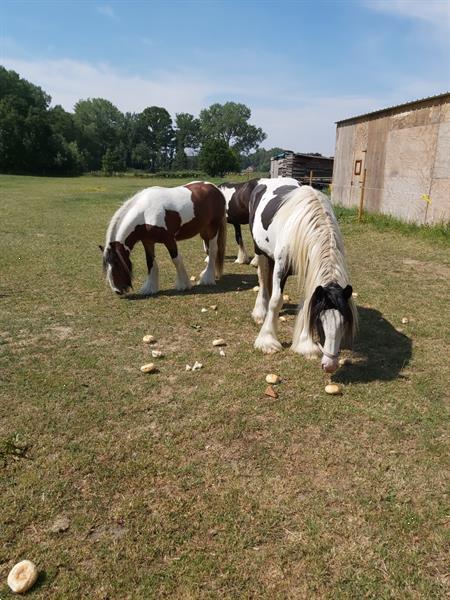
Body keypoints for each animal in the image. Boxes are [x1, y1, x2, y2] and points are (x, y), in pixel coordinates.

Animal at [248, 180, 356, 372]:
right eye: (320, 320)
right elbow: (276, 301)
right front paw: (267, 341)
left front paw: (305, 344)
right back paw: (260, 312)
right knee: (262, 279)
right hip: (259, 250)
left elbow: (307, 303)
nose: (330, 365)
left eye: (343, 322)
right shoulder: (281, 268)